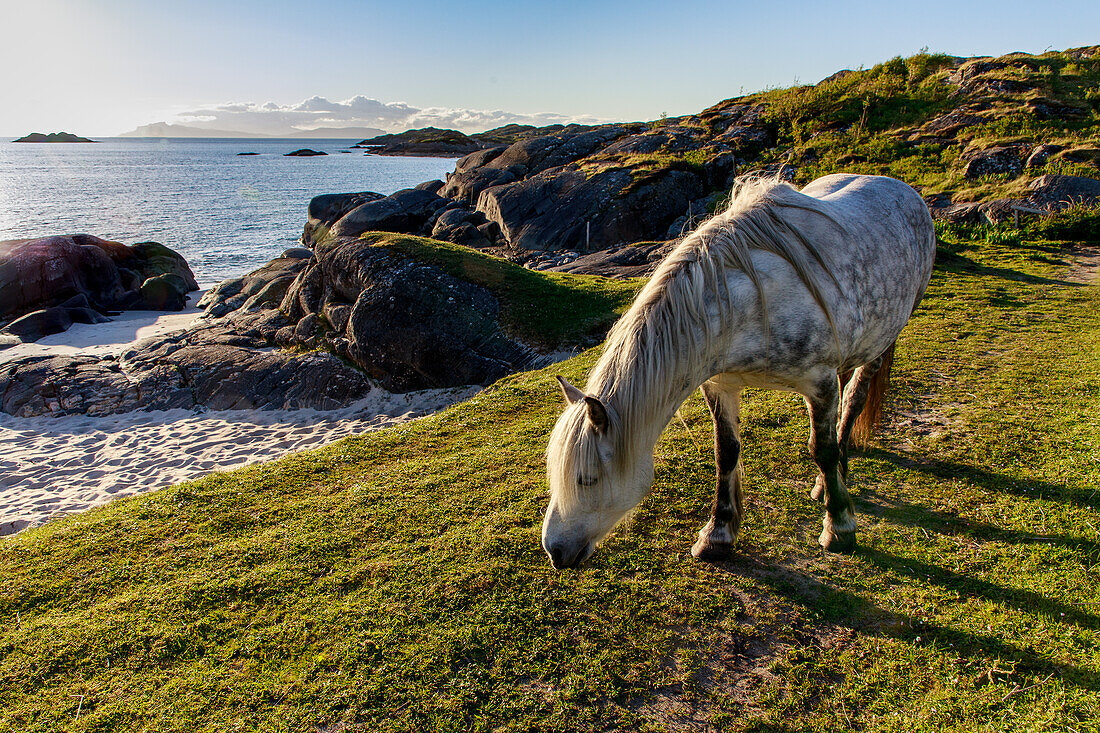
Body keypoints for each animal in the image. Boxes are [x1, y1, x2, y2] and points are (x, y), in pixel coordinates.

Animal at [545, 173, 932, 567]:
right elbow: (726, 453)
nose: (554, 551)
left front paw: (839, 528)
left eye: (587, 480)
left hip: (880, 343)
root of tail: (901, 187)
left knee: (853, 399)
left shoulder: (819, 383)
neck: (747, 306)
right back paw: (826, 484)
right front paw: (717, 534)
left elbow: (821, 449)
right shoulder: (720, 385)